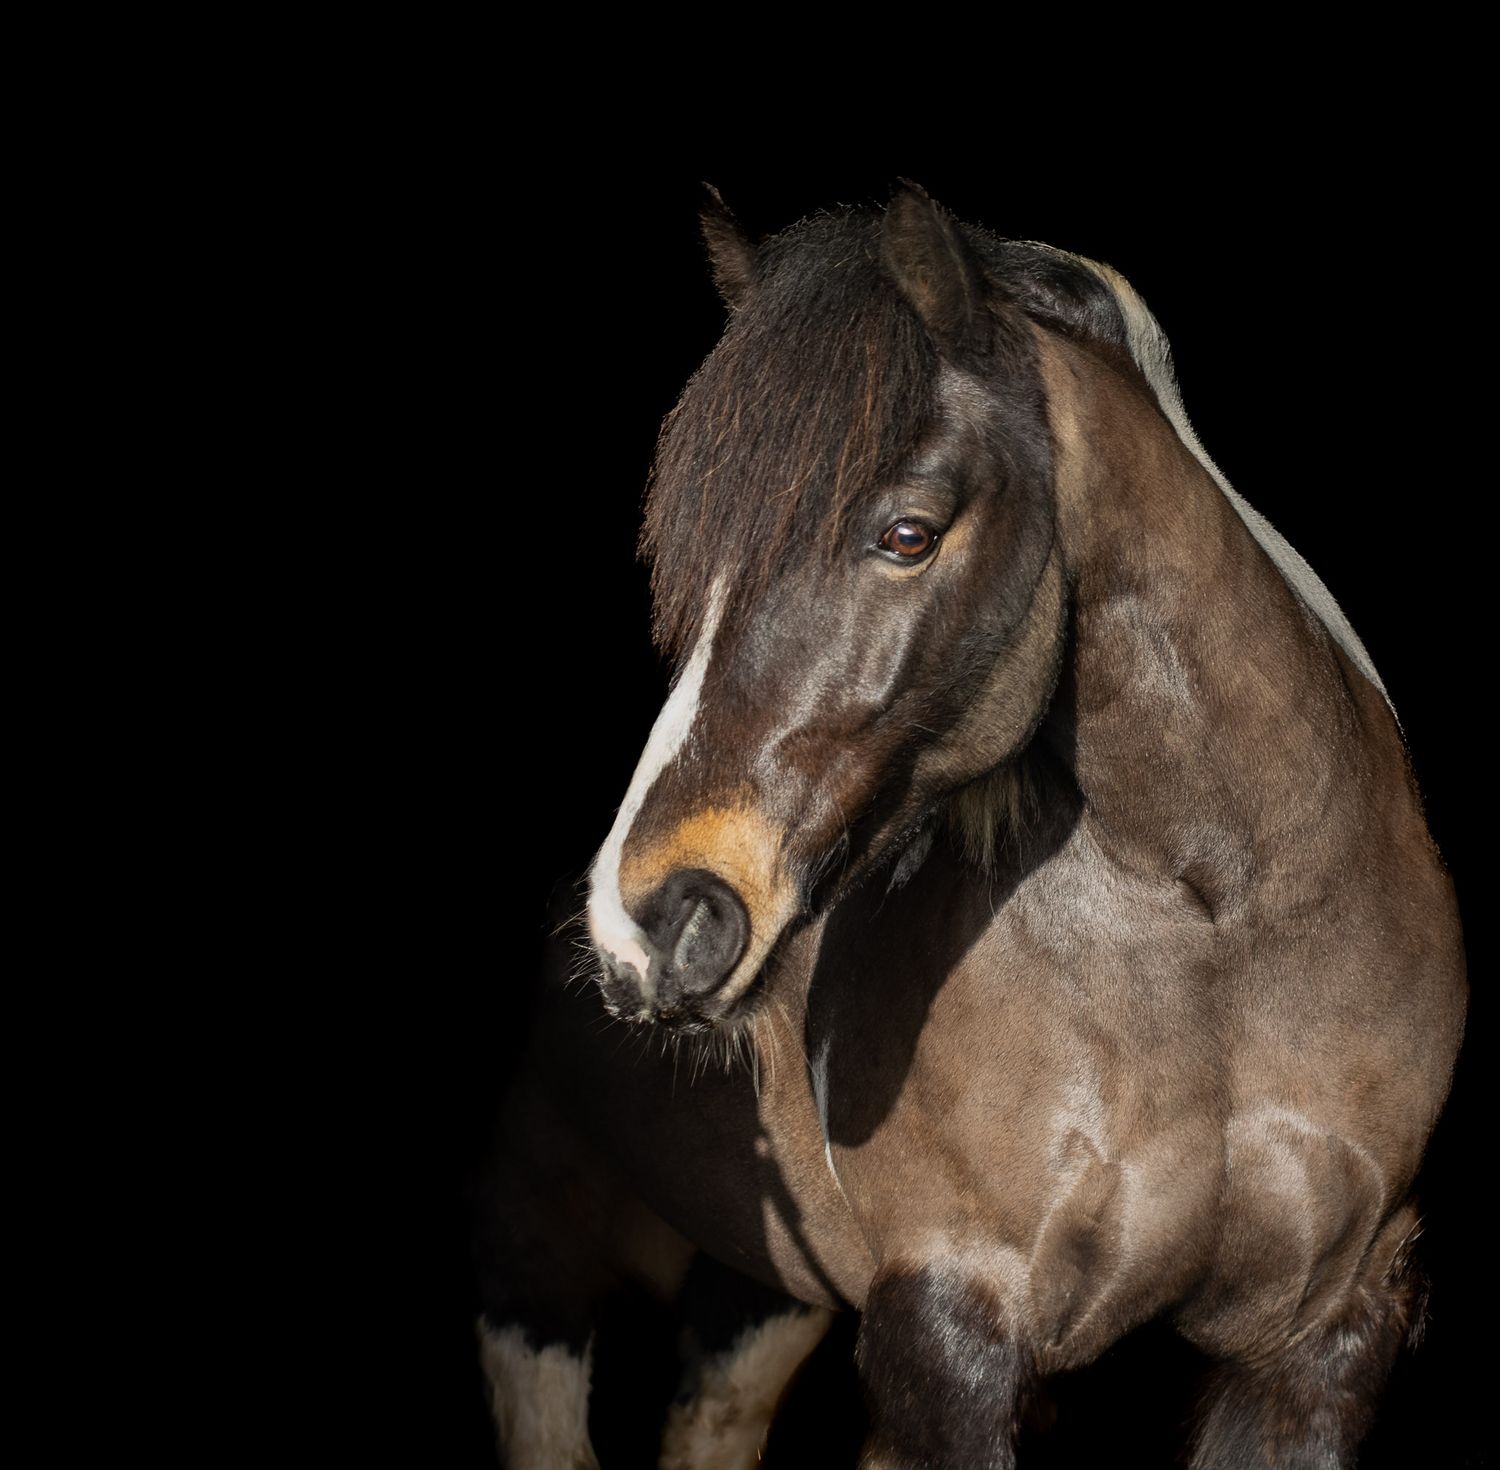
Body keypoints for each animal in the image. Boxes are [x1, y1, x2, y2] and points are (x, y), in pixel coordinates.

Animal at [476, 182, 1467, 1468]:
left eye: (908, 532)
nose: (650, 922)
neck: (1221, 935)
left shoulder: (1322, 1341)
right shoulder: (950, 1328)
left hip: (764, 1282)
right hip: (538, 1238)